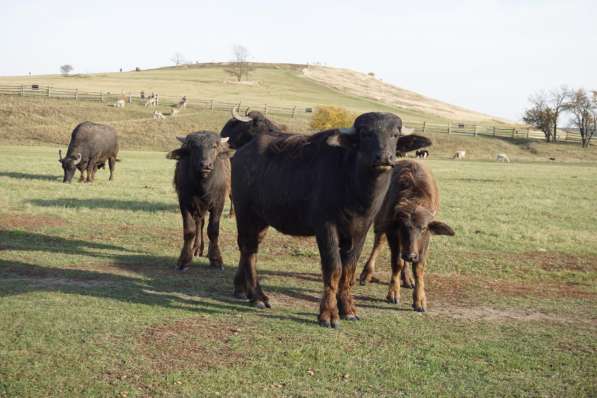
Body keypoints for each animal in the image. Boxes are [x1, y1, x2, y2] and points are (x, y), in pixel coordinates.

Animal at [168, 132, 235, 272]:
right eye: (194, 147)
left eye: (214, 146)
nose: (205, 165)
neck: (203, 185)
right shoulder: (185, 202)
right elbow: (189, 230)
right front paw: (184, 260)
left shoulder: (218, 203)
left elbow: (213, 230)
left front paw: (216, 259)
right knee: (200, 224)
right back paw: (197, 248)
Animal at [230, 111, 430, 326]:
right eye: (366, 133)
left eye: (395, 134)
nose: (384, 157)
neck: (356, 189)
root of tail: (241, 153)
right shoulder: (326, 227)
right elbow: (334, 268)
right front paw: (328, 314)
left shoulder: (360, 230)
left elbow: (348, 269)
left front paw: (348, 309)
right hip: (245, 212)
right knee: (248, 249)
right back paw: (257, 296)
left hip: (261, 219)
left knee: (250, 248)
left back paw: (242, 289)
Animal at [358, 160, 452, 312]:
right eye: (402, 226)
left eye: (423, 228)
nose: (410, 255)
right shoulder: (392, 232)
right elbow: (397, 262)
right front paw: (393, 293)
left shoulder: (425, 240)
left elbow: (418, 267)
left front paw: (420, 299)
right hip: (380, 222)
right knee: (379, 243)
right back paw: (366, 274)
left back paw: (407, 278)